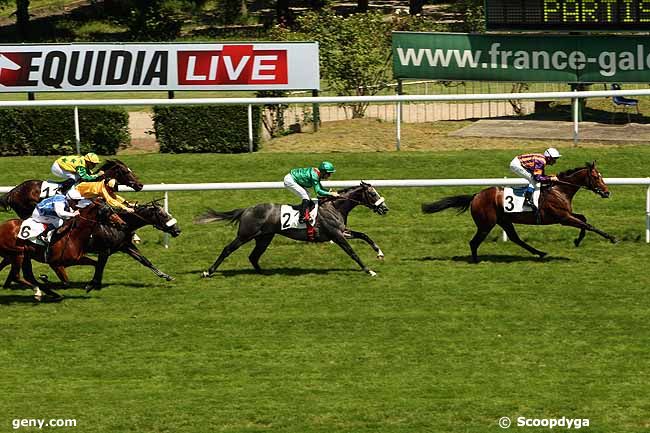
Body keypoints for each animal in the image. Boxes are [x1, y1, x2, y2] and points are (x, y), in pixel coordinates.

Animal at [196, 181, 390, 276]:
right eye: (372, 194)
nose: (385, 208)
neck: (334, 206)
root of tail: (246, 210)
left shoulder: (343, 231)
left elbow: (364, 235)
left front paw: (379, 253)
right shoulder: (336, 235)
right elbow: (353, 253)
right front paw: (369, 270)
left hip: (264, 237)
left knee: (253, 256)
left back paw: (264, 273)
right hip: (245, 234)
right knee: (227, 249)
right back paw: (208, 271)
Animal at [422, 162, 616, 262]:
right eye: (596, 177)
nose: (607, 192)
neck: (559, 189)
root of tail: (476, 196)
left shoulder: (567, 214)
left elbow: (584, 219)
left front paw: (578, 240)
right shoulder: (562, 217)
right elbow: (588, 224)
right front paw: (612, 238)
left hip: (504, 221)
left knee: (515, 238)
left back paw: (540, 253)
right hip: (486, 224)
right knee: (474, 242)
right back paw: (476, 260)